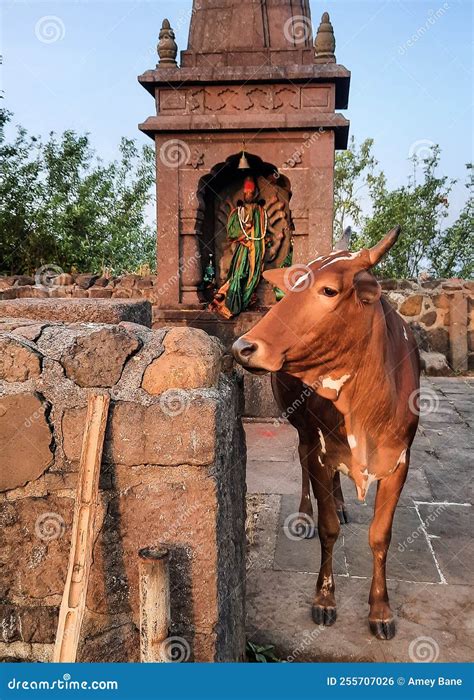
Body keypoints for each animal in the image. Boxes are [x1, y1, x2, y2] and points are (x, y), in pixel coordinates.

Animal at [231, 228, 420, 640]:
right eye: (290, 287)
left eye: (329, 290)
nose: (243, 347)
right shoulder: (320, 451)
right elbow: (328, 528)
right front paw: (324, 599)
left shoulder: (400, 462)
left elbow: (380, 535)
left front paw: (380, 611)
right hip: (302, 429)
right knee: (303, 467)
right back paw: (306, 512)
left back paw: (343, 502)